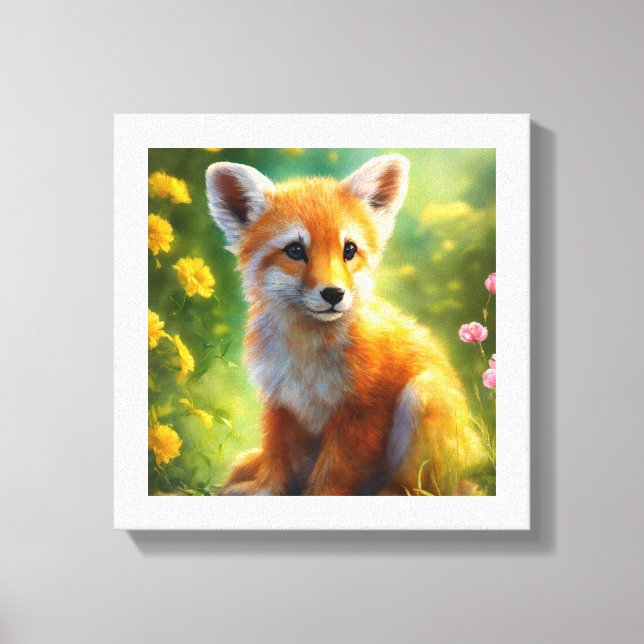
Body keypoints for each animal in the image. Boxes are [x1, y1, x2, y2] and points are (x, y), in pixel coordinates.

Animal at [205, 154, 486, 495]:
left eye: (349, 250)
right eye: (295, 250)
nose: (334, 294)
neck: (306, 356)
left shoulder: (361, 412)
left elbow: (334, 473)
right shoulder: (281, 403)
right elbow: (277, 460)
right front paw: (265, 489)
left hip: (424, 395)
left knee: (416, 486)